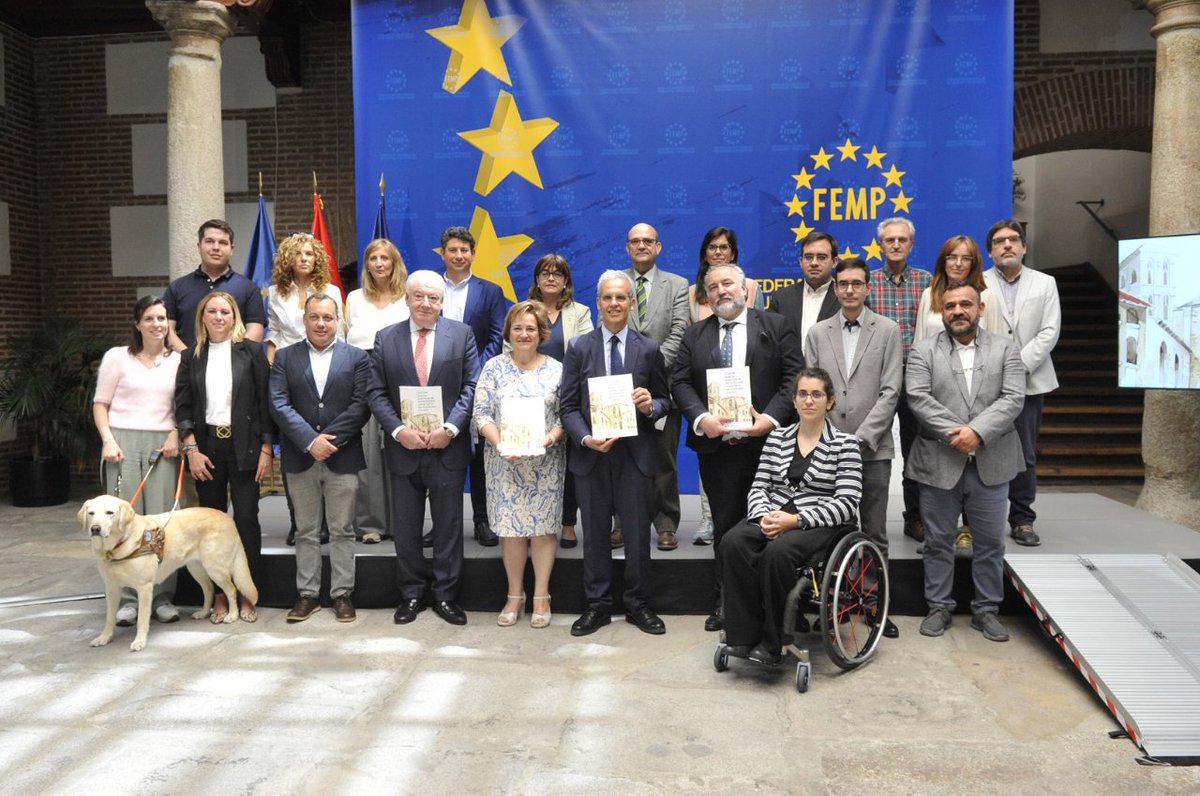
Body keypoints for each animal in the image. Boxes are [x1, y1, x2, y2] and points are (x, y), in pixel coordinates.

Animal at [81, 494, 259, 653]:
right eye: (91, 513)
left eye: (109, 513)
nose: (95, 529)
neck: (118, 546)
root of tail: (226, 516)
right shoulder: (111, 588)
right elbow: (109, 618)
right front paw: (104, 638)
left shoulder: (144, 588)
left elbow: (142, 620)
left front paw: (139, 642)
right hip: (197, 568)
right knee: (209, 589)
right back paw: (203, 612)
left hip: (215, 568)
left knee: (231, 589)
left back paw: (232, 615)